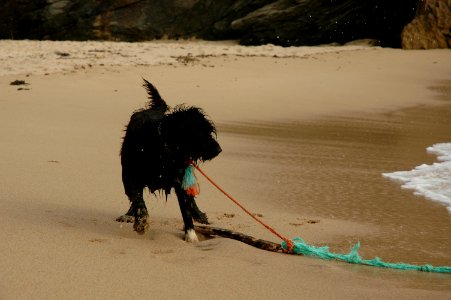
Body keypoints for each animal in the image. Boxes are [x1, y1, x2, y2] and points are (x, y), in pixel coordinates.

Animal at [116, 79, 222, 241]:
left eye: (210, 131)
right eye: (199, 133)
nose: (218, 149)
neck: (161, 149)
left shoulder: (180, 180)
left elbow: (186, 209)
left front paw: (191, 235)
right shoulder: (131, 176)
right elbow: (138, 200)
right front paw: (141, 222)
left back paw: (199, 215)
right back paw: (129, 215)